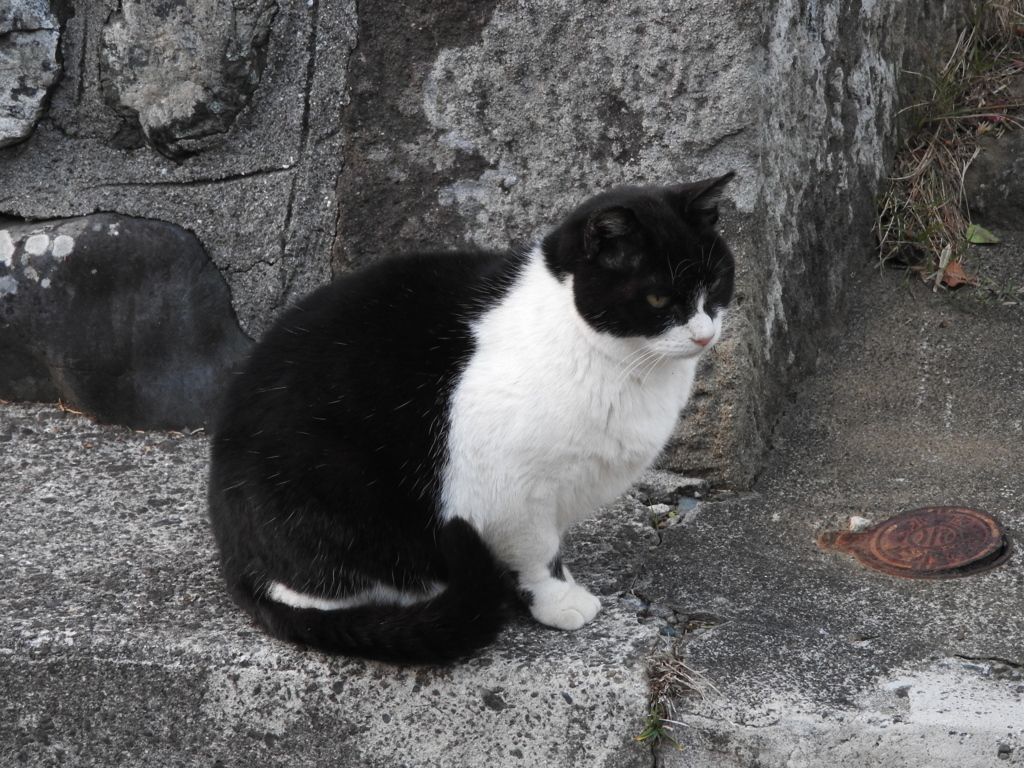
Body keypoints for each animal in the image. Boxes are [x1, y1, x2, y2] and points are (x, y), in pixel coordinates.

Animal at [207, 173, 737, 663]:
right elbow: (539, 552)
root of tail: (232, 551)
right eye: (658, 299)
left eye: (714, 282)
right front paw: (558, 599)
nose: (704, 334)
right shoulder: (508, 491)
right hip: (332, 476)